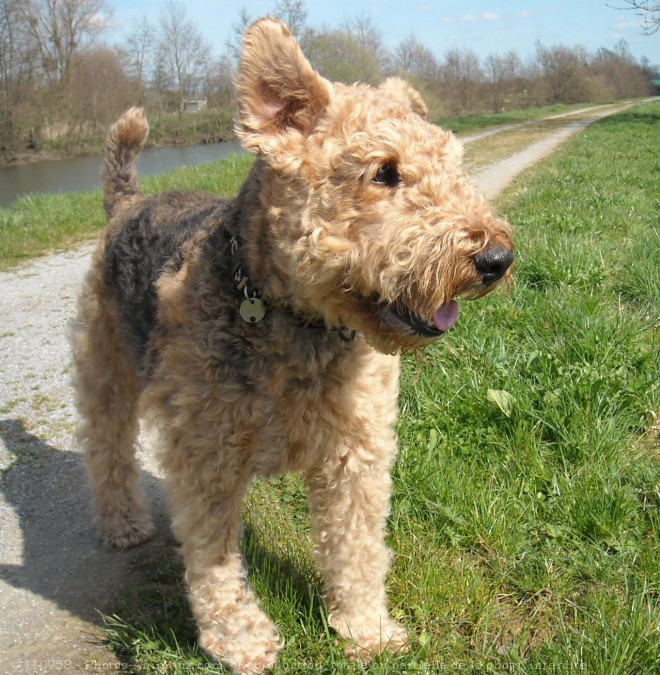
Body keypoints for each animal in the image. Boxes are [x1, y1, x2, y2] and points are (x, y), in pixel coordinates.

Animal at [73, 17, 516, 675]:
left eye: (454, 163)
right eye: (383, 172)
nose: (495, 258)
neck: (295, 319)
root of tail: (128, 202)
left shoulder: (357, 451)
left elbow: (356, 548)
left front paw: (366, 630)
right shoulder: (207, 459)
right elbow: (214, 563)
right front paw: (242, 641)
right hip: (105, 373)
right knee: (107, 453)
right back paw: (124, 524)